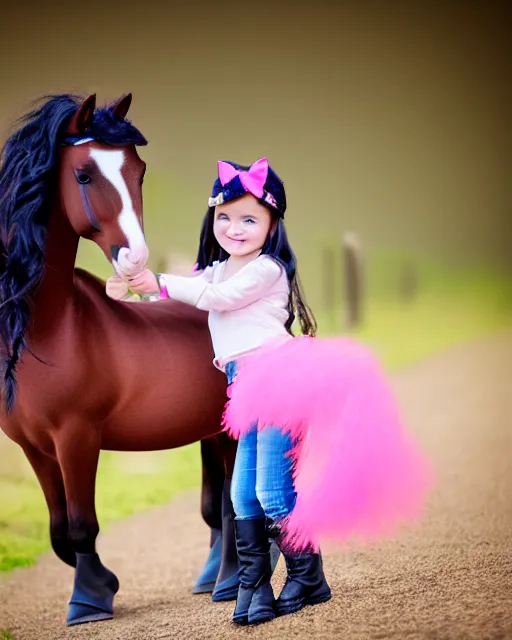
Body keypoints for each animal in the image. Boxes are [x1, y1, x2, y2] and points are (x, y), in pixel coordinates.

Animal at [0, 94, 240, 624]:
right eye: (83, 175)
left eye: (139, 171)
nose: (135, 260)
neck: (48, 332)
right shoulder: (35, 448)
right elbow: (58, 533)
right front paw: (103, 585)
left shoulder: (77, 438)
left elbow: (80, 526)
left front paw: (88, 602)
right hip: (210, 433)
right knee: (218, 503)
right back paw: (215, 578)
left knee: (237, 501)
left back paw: (233, 580)